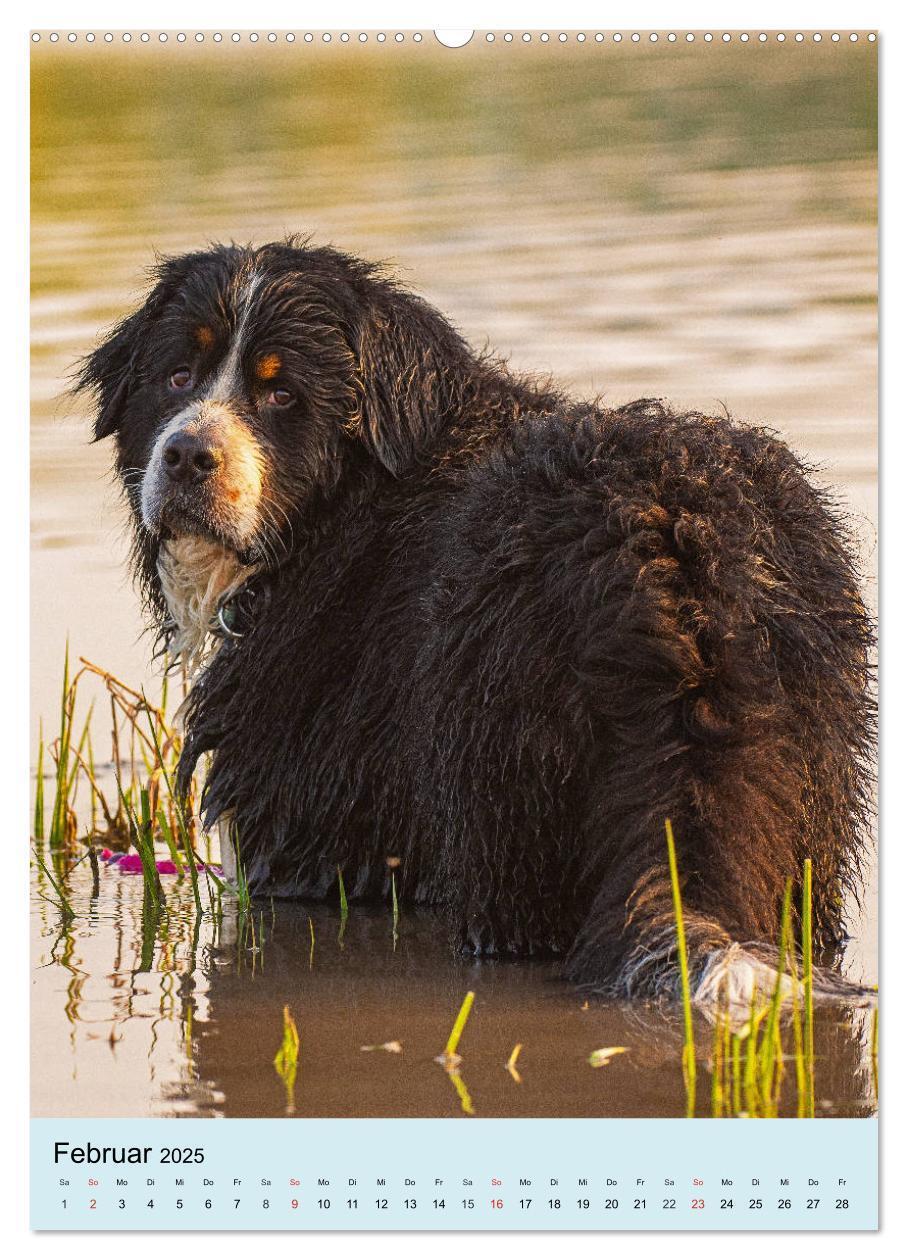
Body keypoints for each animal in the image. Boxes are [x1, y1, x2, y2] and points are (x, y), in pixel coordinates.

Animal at [81, 238, 876, 1002]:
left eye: (282, 394)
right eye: (177, 377)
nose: (188, 454)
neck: (348, 513)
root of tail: (671, 564)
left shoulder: (310, 816)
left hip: (500, 797)